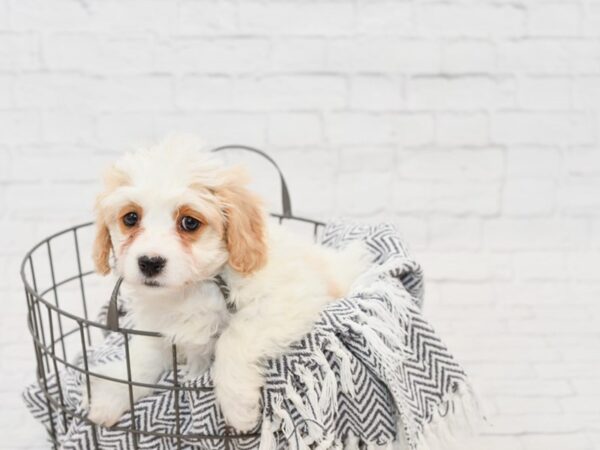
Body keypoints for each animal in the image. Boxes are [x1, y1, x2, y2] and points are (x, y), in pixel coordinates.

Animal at [85, 139, 366, 430]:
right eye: (130, 218)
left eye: (189, 222)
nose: (150, 262)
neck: (193, 287)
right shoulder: (159, 327)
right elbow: (140, 358)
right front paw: (110, 396)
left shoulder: (287, 300)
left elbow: (233, 338)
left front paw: (238, 405)